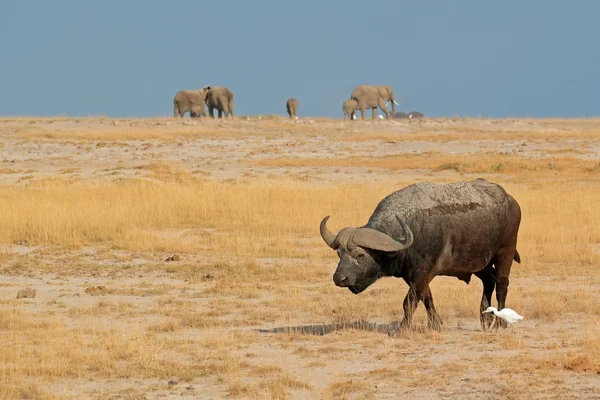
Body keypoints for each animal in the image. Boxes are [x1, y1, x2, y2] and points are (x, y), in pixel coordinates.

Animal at [318, 178, 520, 332]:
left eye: (360, 255)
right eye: (339, 253)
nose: (339, 278)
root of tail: (511, 200)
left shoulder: (424, 272)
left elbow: (409, 301)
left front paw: (402, 328)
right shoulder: (413, 275)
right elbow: (426, 297)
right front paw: (435, 324)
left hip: (505, 251)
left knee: (502, 284)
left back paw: (501, 322)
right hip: (478, 263)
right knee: (489, 280)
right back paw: (485, 318)